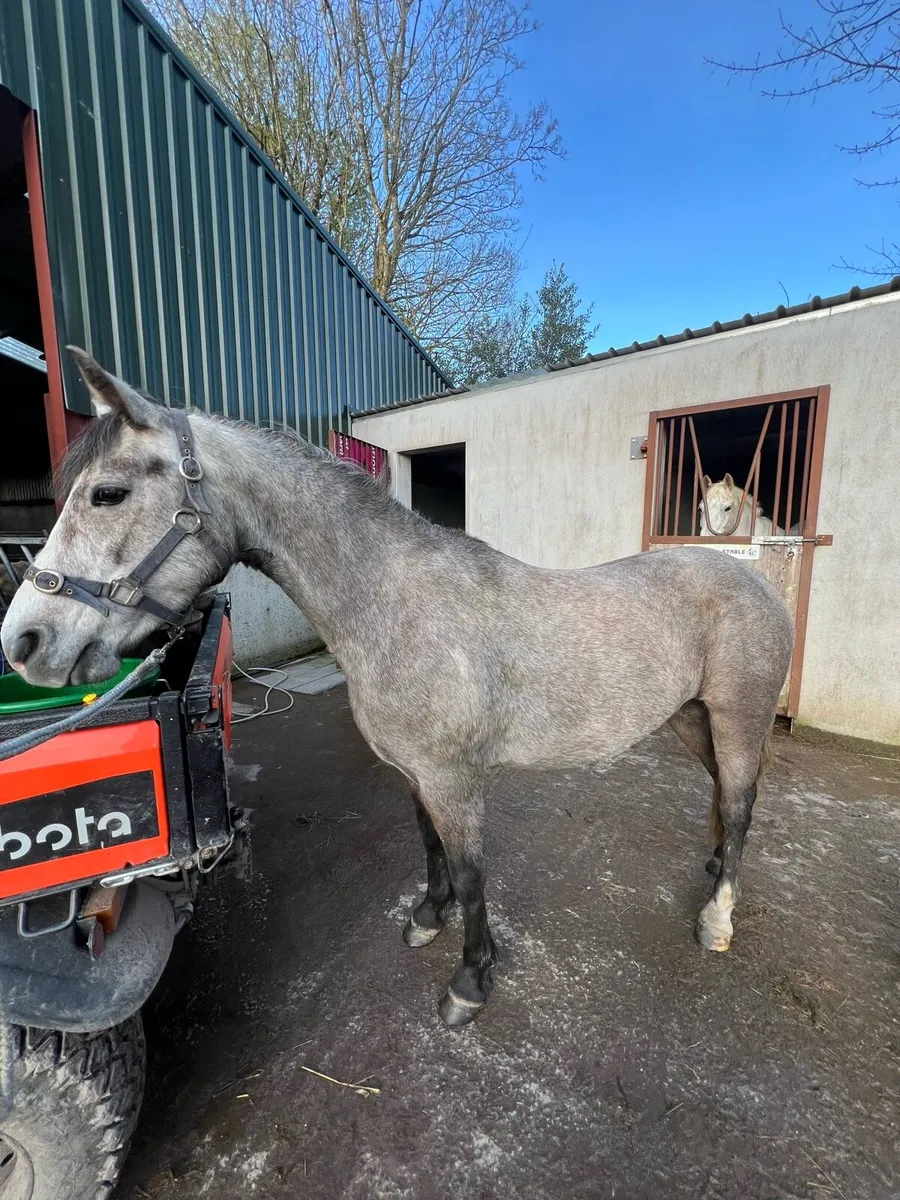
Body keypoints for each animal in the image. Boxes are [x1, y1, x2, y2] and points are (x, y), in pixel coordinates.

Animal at [1, 351, 795, 1028]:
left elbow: (472, 873)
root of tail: (754, 577)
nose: (24, 642)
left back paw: (717, 917)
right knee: (725, 798)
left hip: (739, 720)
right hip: (691, 718)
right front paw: (426, 918)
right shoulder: (417, 774)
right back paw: (713, 871)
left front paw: (470, 981)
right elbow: (430, 848)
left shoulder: (454, 778)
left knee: (741, 805)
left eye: (108, 493)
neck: (395, 602)